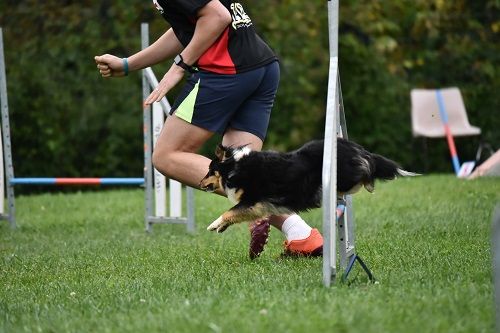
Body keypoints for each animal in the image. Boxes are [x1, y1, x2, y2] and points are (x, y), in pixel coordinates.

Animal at [199, 136, 418, 232]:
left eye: (209, 170)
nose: (201, 183)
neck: (235, 165)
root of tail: (357, 148)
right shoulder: (259, 206)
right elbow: (235, 214)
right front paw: (221, 227)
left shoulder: (253, 200)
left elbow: (230, 211)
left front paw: (213, 224)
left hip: (343, 174)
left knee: (366, 170)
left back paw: (369, 182)